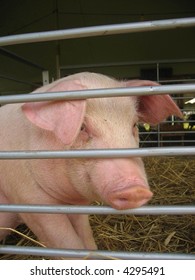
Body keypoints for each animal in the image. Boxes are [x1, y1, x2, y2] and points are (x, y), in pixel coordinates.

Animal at [0, 71, 183, 249]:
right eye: (81, 127)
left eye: (133, 125)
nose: (136, 190)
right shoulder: (28, 199)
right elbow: (67, 243)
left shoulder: (76, 207)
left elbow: (86, 236)